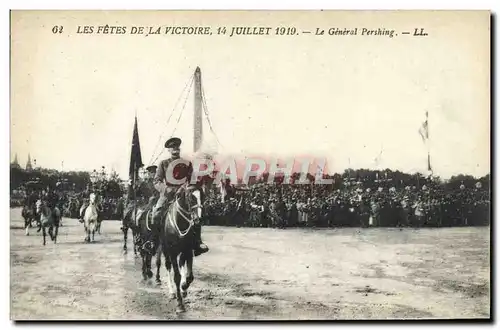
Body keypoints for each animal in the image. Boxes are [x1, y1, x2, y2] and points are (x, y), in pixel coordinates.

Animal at [154, 184, 205, 314]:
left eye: (202, 197)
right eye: (191, 198)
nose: (198, 221)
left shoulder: (188, 250)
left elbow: (190, 276)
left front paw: (184, 287)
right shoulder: (172, 252)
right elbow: (176, 276)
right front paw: (180, 304)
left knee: (181, 263)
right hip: (165, 249)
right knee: (167, 266)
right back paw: (172, 291)